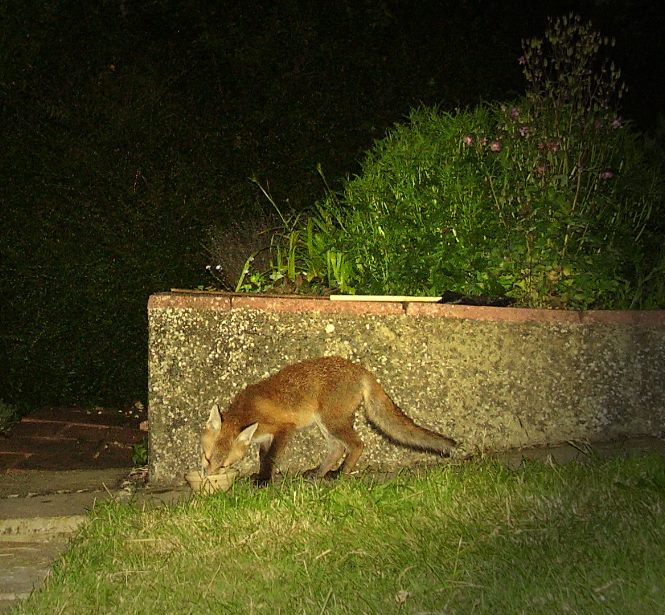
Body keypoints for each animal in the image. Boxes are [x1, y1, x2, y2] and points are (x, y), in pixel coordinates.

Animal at [198, 358, 456, 484]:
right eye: (207, 458)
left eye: (224, 466)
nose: (208, 479)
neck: (249, 410)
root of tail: (360, 369)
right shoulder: (263, 437)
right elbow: (263, 458)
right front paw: (261, 475)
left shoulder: (283, 429)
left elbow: (270, 458)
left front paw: (263, 481)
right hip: (325, 423)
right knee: (336, 448)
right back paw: (320, 472)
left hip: (332, 421)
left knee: (356, 445)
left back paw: (340, 473)